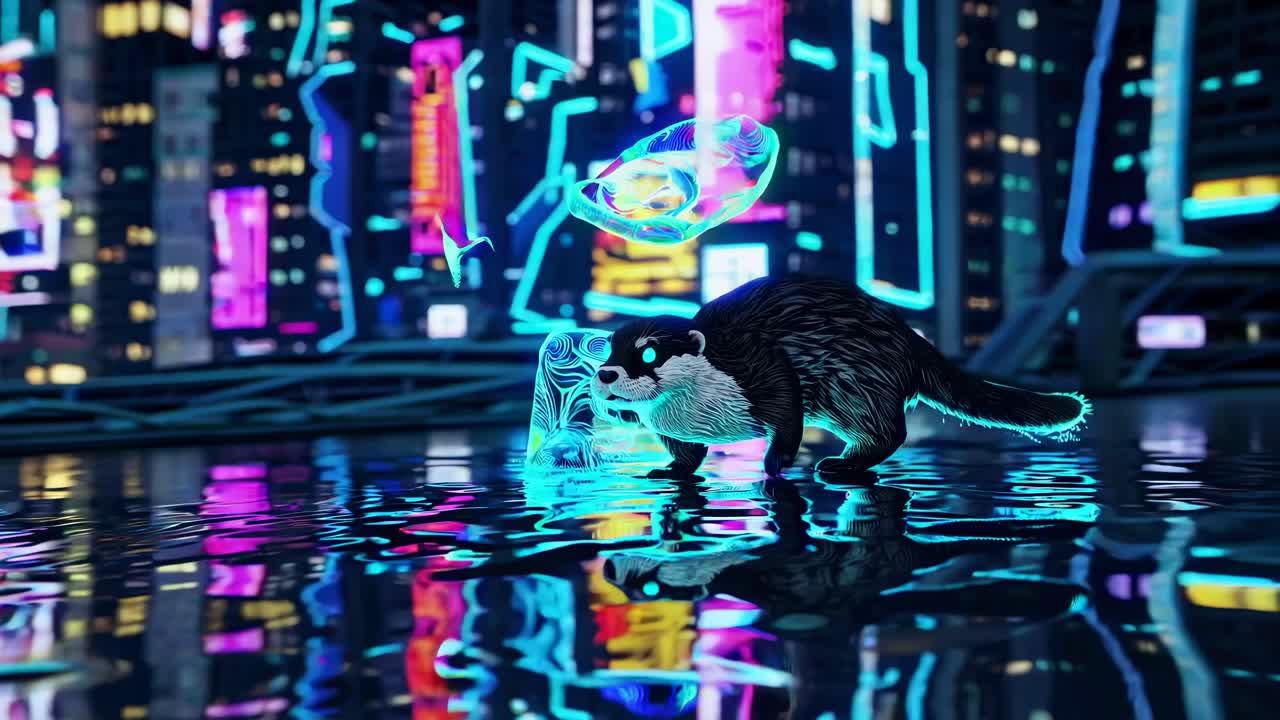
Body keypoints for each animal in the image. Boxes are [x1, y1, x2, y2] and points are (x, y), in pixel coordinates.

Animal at [590, 275, 1089, 477]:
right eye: (606, 347)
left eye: (649, 352)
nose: (606, 374)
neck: (699, 412)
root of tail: (904, 334)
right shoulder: (676, 431)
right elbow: (688, 456)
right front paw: (668, 470)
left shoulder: (763, 369)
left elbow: (787, 417)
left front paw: (775, 465)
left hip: (856, 384)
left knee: (889, 432)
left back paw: (840, 465)